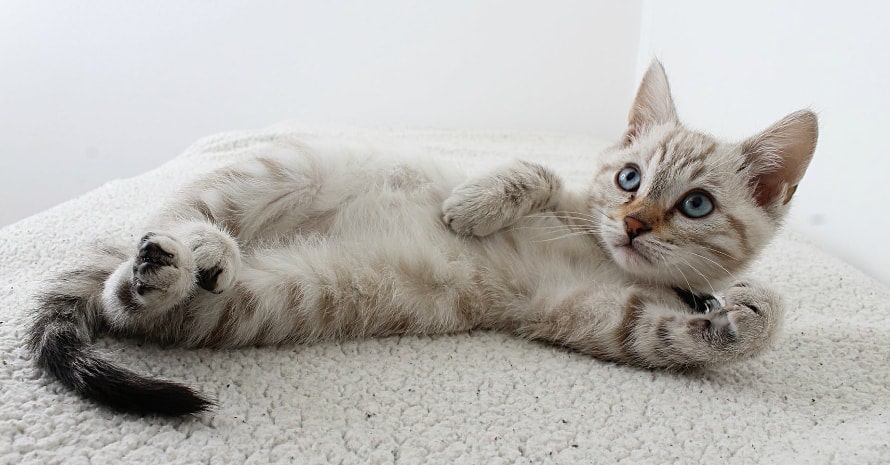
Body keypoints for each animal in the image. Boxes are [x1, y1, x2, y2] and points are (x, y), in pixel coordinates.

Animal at [27, 60, 820, 414]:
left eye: (695, 205)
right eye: (629, 178)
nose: (630, 225)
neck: (601, 255)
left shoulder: (589, 315)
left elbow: (666, 332)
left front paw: (744, 315)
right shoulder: (570, 199)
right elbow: (534, 174)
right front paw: (472, 206)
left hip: (254, 303)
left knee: (129, 299)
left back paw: (173, 270)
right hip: (272, 170)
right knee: (174, 215)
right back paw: (197, 244)